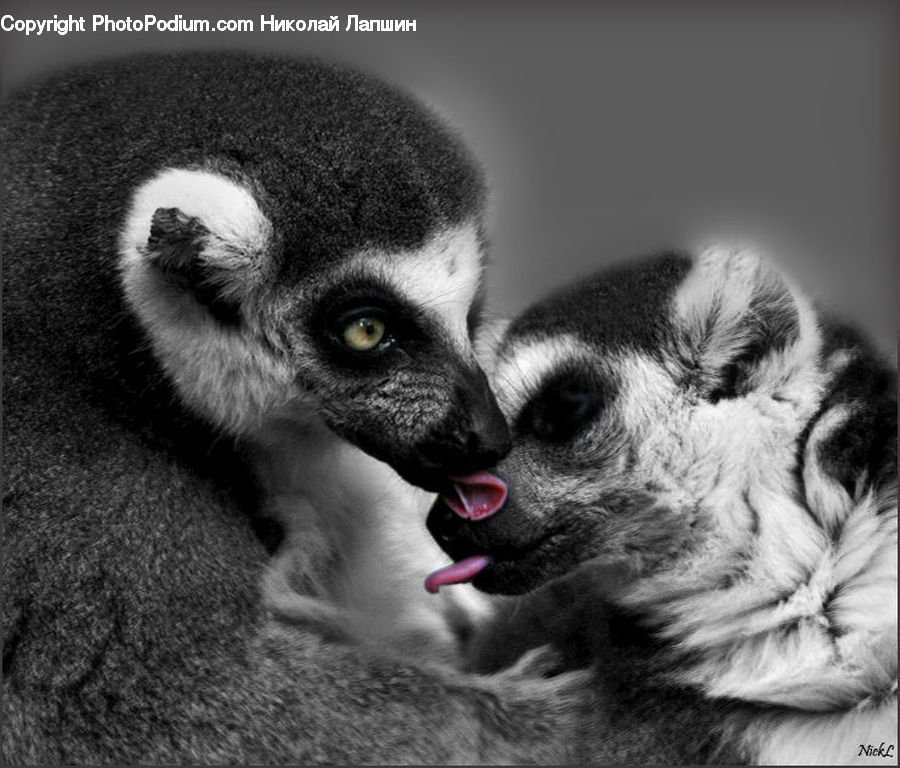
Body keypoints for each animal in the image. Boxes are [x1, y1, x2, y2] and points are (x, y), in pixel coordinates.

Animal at [1, 51, 589, 764]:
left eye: (472, 316)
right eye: (366, 330)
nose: (486, 438)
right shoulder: (67, 498)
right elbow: (143, 707)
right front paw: (541, 724)